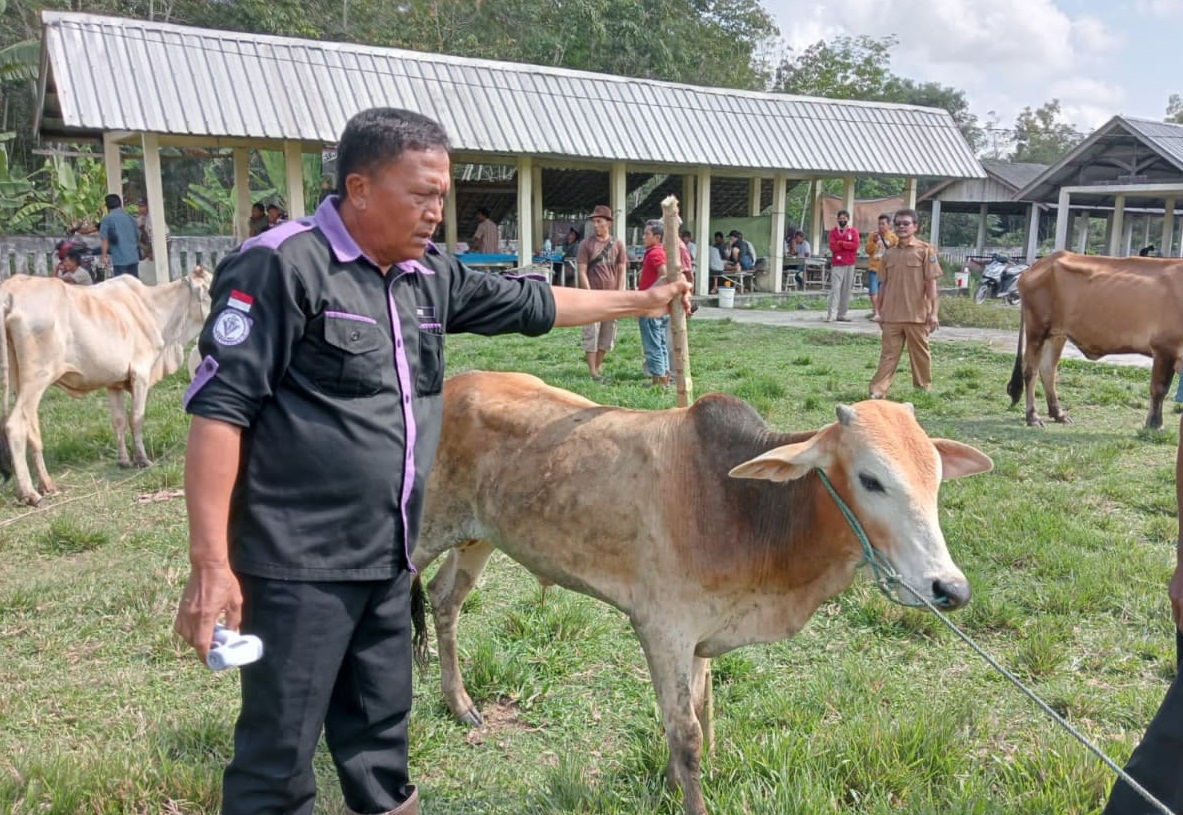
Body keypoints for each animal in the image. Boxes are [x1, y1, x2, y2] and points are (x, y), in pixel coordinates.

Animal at [0, 269, 210, 506]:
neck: (152, 307)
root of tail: (10, 290)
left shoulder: (114, 382)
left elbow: (118, 421)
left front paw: (123, 460)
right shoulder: (140, 374)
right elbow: (136, 418)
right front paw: (142, 460)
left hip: (20, 380)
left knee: (31, 426)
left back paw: (47, 485)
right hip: (37, 377)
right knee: (15, 425)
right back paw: (30, 493)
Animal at [411, 371, 993, 813]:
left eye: (936, 477)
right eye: (871, 480)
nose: (949, 587)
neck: (746, 506)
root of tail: (455, 382)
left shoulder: (701, 637)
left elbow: (698, 710)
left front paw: (672, 782)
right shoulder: (663, 628)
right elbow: (686, 732)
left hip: (478, 537)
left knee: (444, 599)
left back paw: (461, 703)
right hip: (422, 534)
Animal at [1007, 249, 1183, 428]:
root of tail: (1038, 264)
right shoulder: (1164, 347)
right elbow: (1159, 388)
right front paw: (1155, 425)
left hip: (1056, 334)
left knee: (1048, 369)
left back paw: (1058, 414)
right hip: (1037, 329)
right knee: (1030, 371)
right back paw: (1033, 416)